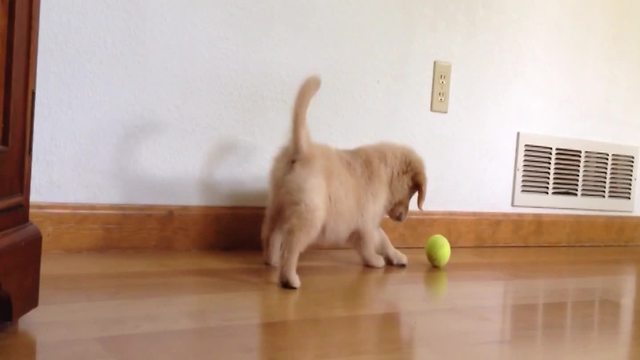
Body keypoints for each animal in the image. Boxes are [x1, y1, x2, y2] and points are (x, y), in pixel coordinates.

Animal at [262, 76, 428, 290]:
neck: (387, 172)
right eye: (412, 192)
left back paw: (271, 260)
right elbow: (369, 244)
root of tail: (302, 149)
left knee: (271, 233)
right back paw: (289, 278)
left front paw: (396, 256)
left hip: (278, 206)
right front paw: (375, 261)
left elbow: (384, 239)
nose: (403, 218)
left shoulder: (369, 223)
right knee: (291, 244)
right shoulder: (366, 222)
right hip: (310, 215)